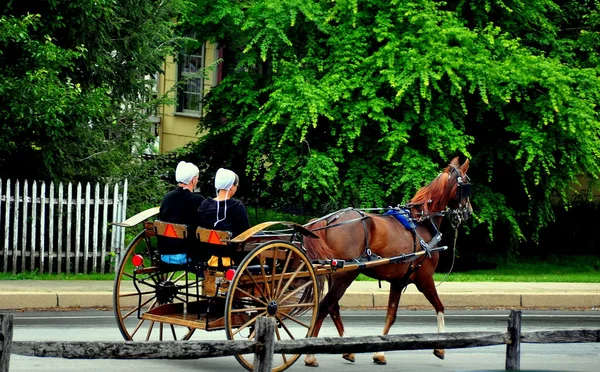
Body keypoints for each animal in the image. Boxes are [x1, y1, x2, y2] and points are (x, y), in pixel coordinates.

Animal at [302, 156, 472, 366]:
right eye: (467, 185)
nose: (469, 211)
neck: (421, 221)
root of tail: (329, 220)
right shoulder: (424, 278)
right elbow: (440, 307)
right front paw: (440, 347)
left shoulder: (398, 281)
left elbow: (391, 315)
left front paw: (380, 353)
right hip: (346, 275)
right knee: (325, 307)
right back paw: (310, 355)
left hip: (338, 274)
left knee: (333, 308)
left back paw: (347, 351)